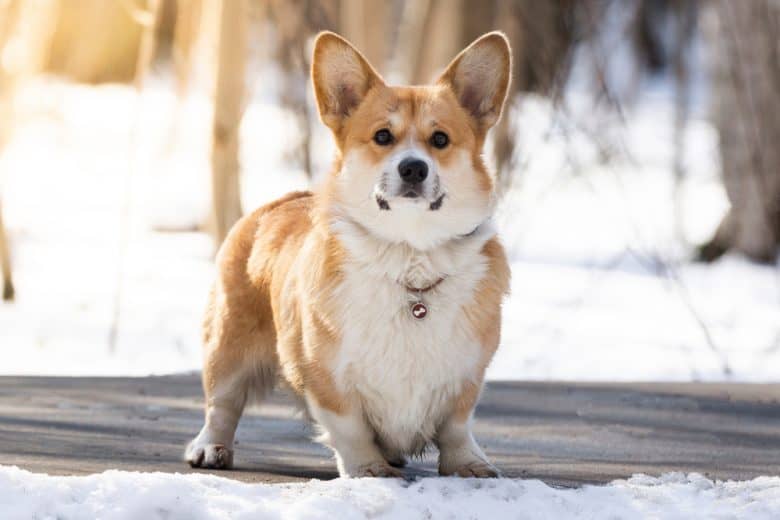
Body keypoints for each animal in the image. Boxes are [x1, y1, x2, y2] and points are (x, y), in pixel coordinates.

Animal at [184, 30, 512, 478]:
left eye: (440, 139)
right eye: (382, 137)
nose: (413, 168)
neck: (409, 256)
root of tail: (284, 197)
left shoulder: (466, 373)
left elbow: (457, 427)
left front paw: (468, 464)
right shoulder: (325, 373)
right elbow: (349, 426)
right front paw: (368, 468)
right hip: (227, 345)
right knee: (222, 404)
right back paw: (210, 447)